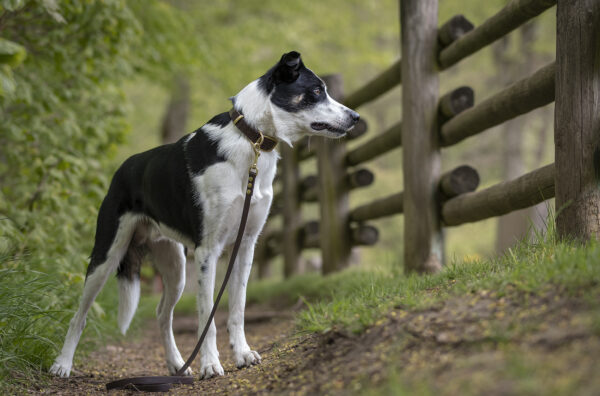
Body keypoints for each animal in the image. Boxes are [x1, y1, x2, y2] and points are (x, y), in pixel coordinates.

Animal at [49, 51, 358, 378]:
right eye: (316, 91)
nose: (356, 117)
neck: (250, 140)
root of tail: (124, 168)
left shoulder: (245, 245)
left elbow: (237, 308)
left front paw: (242, 354)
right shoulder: (209, 250)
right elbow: (207, 314)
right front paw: (210, 364)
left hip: (175, 267)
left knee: (162, 314)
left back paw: (176, 364)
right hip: (106, 256)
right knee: (80, 315)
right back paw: (62, 364)